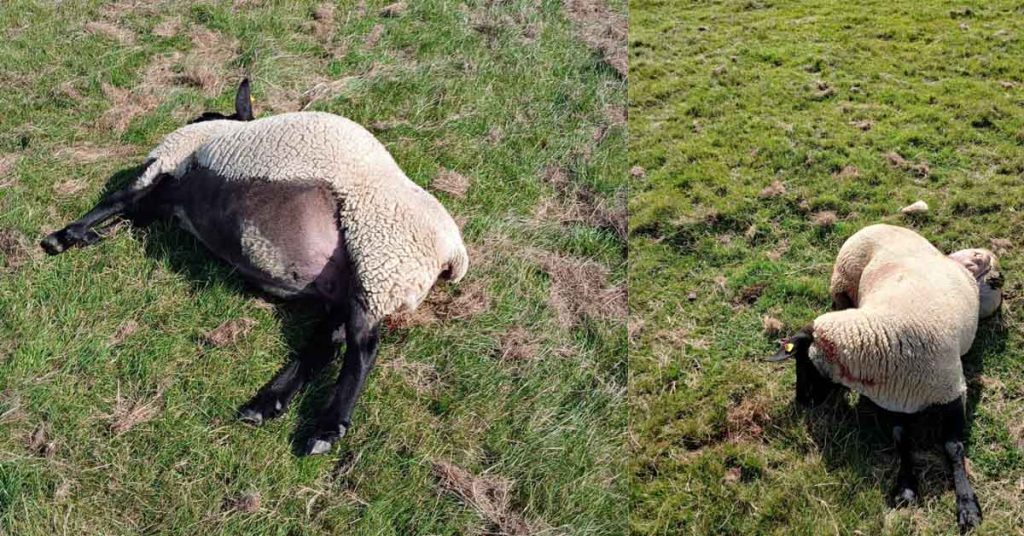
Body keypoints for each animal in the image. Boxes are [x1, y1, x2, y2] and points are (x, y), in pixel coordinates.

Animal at [41, 79, 468, 456]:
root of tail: (453, 254)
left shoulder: (165, 162)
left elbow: (116, 198)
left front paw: (63, 236)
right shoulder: (163, 196)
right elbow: (128, 210)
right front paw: (86, 235)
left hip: (378, 264)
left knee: (363, 349)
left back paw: (325, 429)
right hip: (349, 283)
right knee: (327, 342)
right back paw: (265, 405)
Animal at [767, 224, 1001, 534]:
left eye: (803, 363)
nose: (801, 401)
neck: (881, 335)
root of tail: (878, 224)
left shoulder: (952, 391)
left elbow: (953, 447)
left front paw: (967, 506)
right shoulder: (896, 401)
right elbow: (901, 439)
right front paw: (906, 488)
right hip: (842, 283)